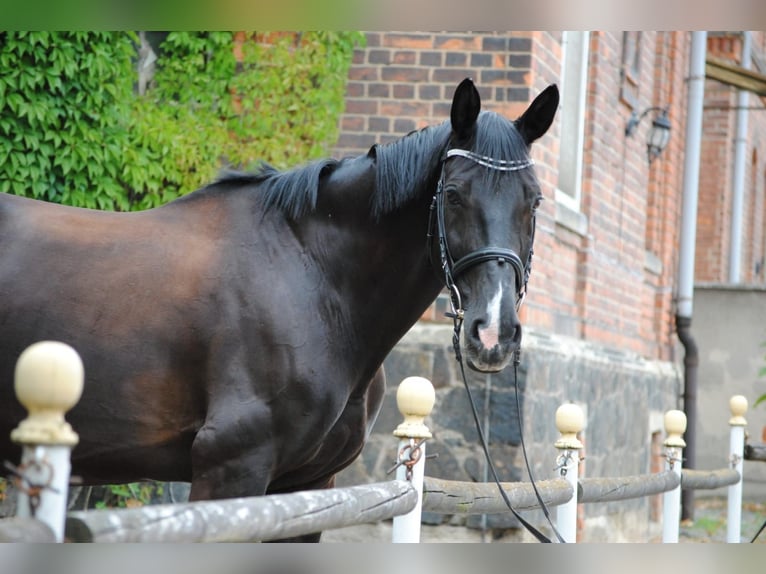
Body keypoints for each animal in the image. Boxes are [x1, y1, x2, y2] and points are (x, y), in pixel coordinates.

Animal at [0, 78, 558, 541]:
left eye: (533, 201)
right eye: (454, 195)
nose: (494, 334)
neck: (312, 276)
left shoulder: (308, 486)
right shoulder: (230, 473)